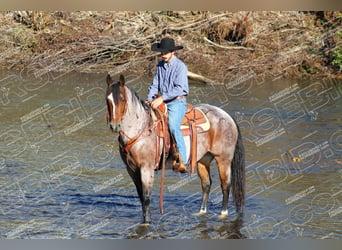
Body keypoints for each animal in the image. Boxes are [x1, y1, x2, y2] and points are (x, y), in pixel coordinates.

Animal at [105, 73, 244, 224]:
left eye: (122, 99)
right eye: (107, 99)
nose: (114, 126)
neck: (141, 128)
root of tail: (227, 116)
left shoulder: (146, 168)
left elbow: (146, 198)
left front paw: (147, 223)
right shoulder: (131, 169)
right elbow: (141, 198)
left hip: (223, 160)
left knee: (225, 185)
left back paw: (223, 214)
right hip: (203, 159)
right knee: (206, 184)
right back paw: (201, 212)